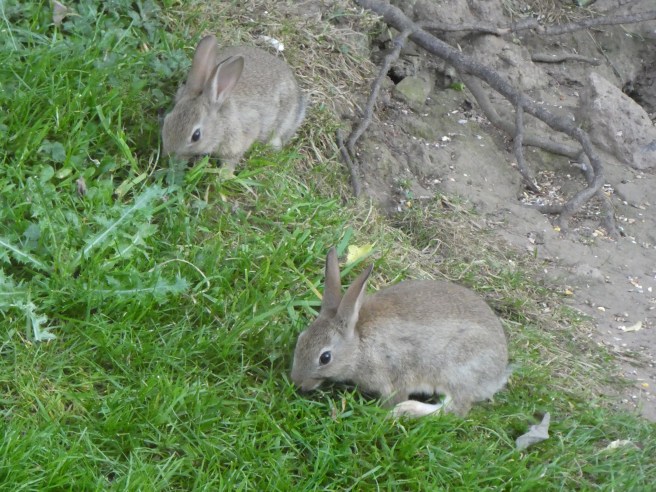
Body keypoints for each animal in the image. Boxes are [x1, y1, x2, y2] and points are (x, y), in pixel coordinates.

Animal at [291, 248, 510, 418]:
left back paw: (407, 410)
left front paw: (386, 412)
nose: (298, 383)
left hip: (457, 370)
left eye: (325, 358)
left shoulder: (393, 375)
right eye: (301, 339)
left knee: (455, 409)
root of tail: (497, 375)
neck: (358, 344)